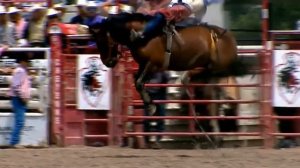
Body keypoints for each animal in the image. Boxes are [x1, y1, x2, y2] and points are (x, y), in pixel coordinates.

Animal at [88, 12, 248, 113]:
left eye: (105, 42)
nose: (107, 62)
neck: (144, 34)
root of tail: (229, 38)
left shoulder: (153, 64)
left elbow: (139, 82)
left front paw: (151, 106)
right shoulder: (143, 64)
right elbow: (137, 81)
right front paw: (149, 104)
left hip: (217, 66)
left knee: (212, 75)